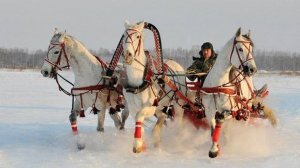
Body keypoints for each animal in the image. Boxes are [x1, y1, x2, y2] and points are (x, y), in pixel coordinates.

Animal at [119, 21, 185, 152]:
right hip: (162, 106)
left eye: (138, 36)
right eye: (124, 36)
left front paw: (137, 145)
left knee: (178, 121)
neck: (138, 81)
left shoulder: (150, 106)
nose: (127, 55)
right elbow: (137, 119)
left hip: (178, 104)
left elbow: (139, 116)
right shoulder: (132, 106)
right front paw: (141, 142)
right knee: (161, 120)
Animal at [197, 27, 276, 158]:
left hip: (246, 109)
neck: (218, 85)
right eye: (240, 49)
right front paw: (215, 147)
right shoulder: (209, 111)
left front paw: (214, 150)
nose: (252, 69)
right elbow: (213, 130)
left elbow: (220, 121)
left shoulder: (229, 111)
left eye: (251, 49)